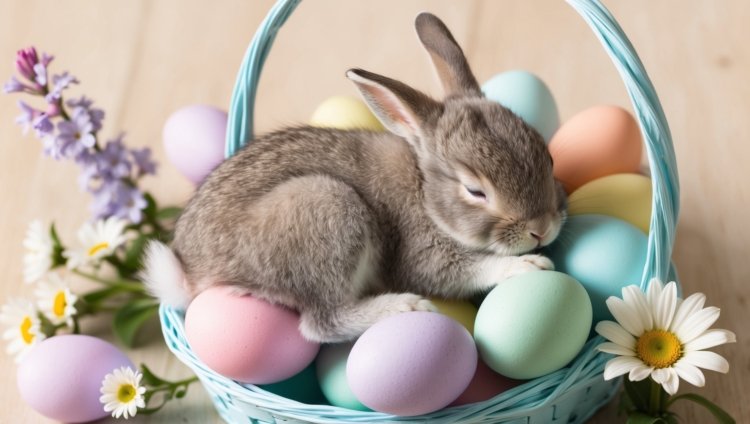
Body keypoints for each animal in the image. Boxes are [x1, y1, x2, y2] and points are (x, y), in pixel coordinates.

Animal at [144, 13, 568, 342]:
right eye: (475, 191)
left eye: (547, 156)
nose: (541, 229)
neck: (424, 190)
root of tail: (192, 276)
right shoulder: (422, 254)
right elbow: (465, 269)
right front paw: (528, 266)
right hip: (327, 209)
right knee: (321, 321)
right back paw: (404, 307)